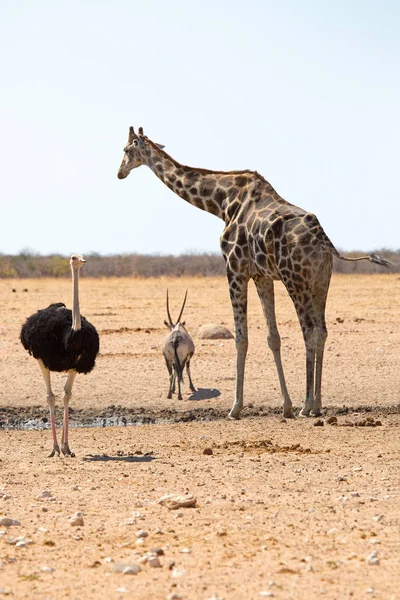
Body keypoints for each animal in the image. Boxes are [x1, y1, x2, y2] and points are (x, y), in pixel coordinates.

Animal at [117, 126, 392, 418]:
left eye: (126, 149)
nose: (120, 172)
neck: (221, 202)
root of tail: (323, 239)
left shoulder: (234, 269)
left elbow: (241, 338)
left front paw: (235, 407)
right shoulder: (262, 276)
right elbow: (273, 337)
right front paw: (285, 406)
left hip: (296, 279)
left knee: (310, 331)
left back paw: (308, 405)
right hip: (321, 280)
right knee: (323, 330)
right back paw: (316, 405)